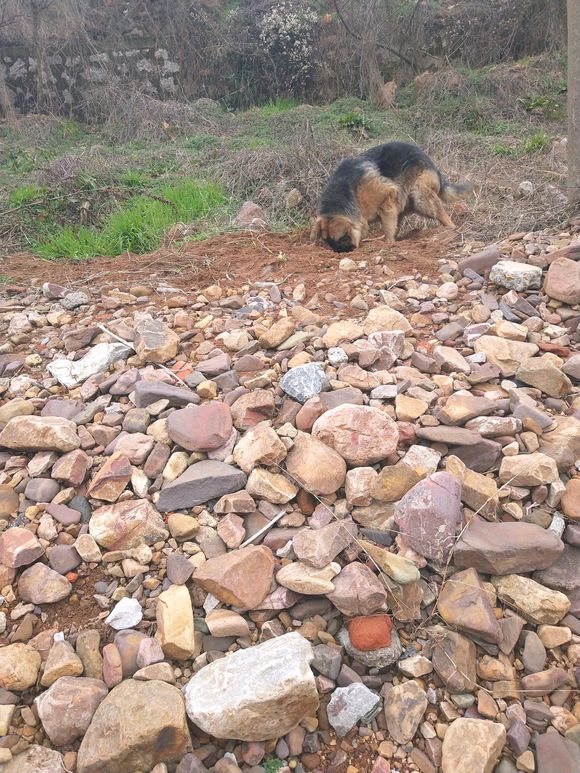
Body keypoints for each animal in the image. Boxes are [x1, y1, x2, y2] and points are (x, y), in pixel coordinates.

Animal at [312, 142, 472, 253]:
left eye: (341, 239)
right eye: (328, 243)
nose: (340, 253)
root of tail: (433, 165)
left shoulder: (387, 198)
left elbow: (388, 227)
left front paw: (388, 244)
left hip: (420, 197)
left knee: (441, 214)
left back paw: (452, 230)